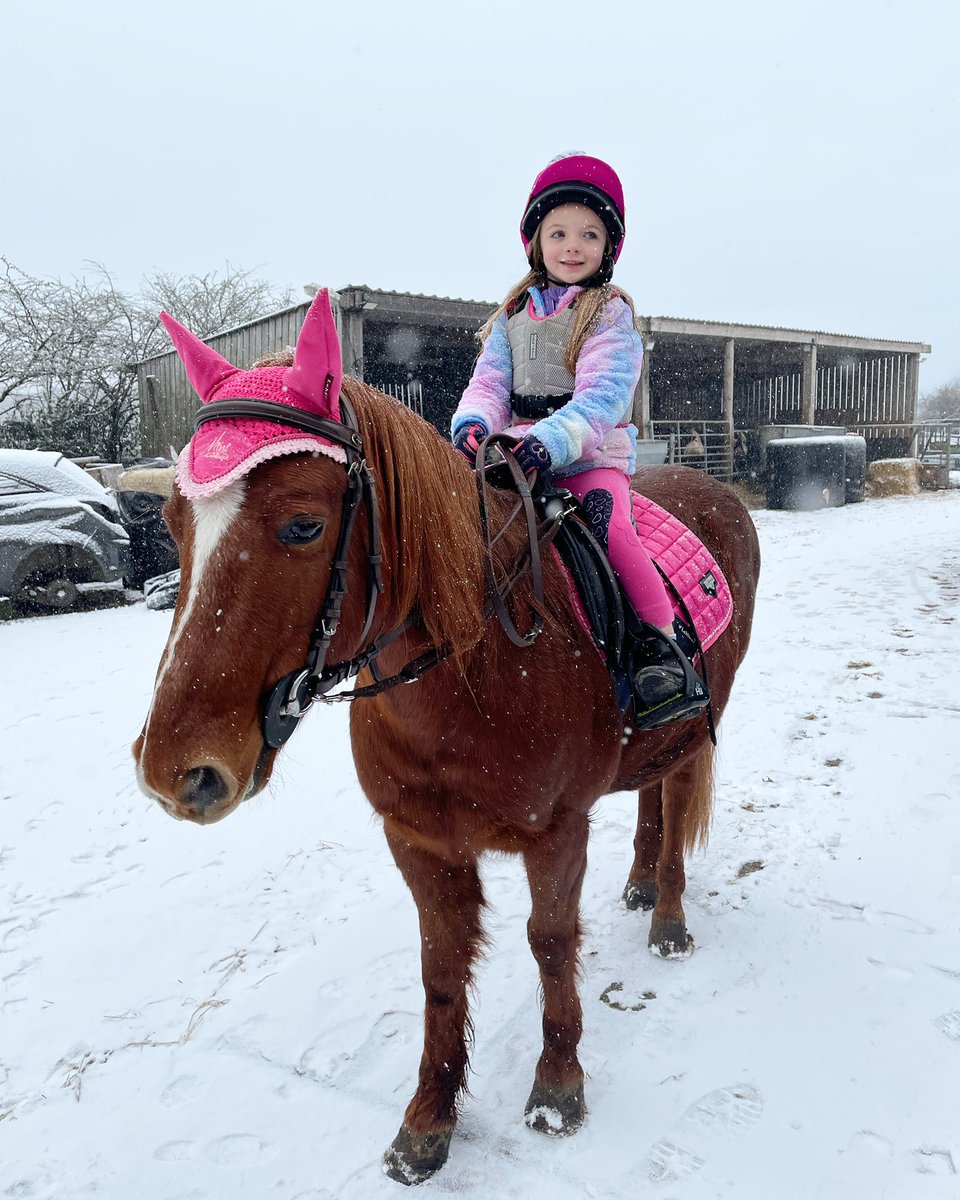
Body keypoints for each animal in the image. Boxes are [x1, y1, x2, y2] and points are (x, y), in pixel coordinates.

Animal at [134, 289, 761, 1185]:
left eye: (302, 526)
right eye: (172, 518)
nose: (176, 771)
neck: (475, 673)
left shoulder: (555, 834)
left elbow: (549, 945)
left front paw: (557, 1087)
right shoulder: (419, 842)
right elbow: (439, 972)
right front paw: (428, 1120)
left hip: (701, 726)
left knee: (674, 804)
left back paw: (668, 917)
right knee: (648, 793)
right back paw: (642, 884)